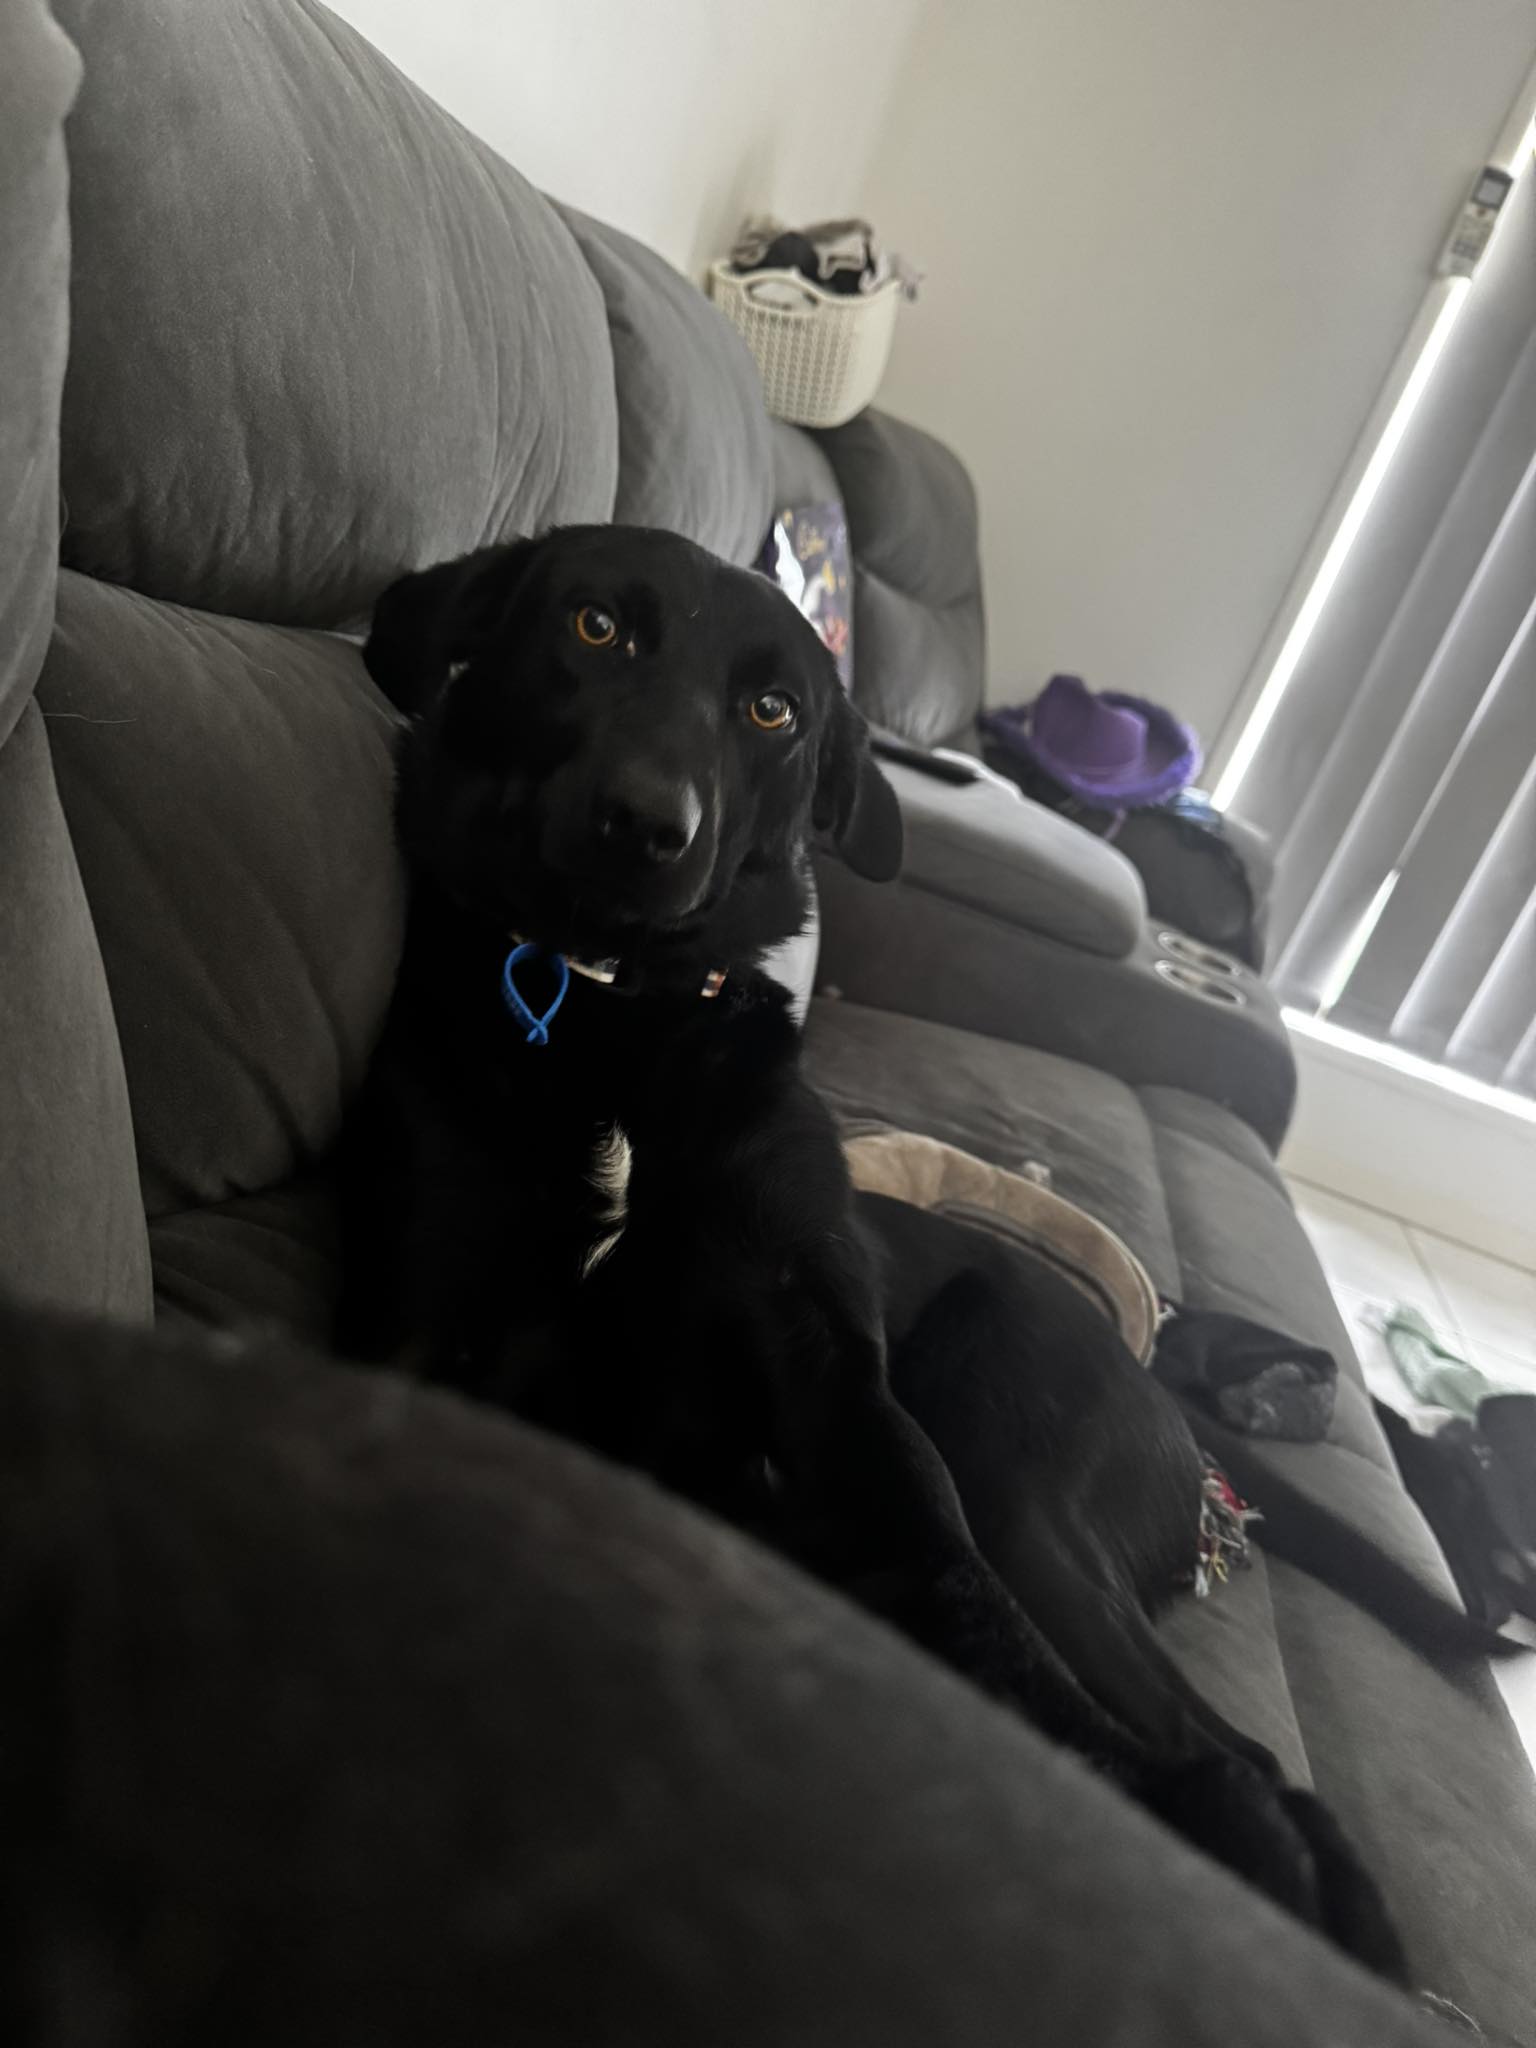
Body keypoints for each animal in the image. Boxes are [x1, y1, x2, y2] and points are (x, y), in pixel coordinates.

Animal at [337, 524, 1407, 1978]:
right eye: (596, 625)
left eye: (773, 710)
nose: (648, 825)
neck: (616, 1012)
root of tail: (1163, 1389)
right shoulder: (432, 1327)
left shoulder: (837, 1369)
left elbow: (963, 1596)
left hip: (1014, 1458)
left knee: (1236, 1748)